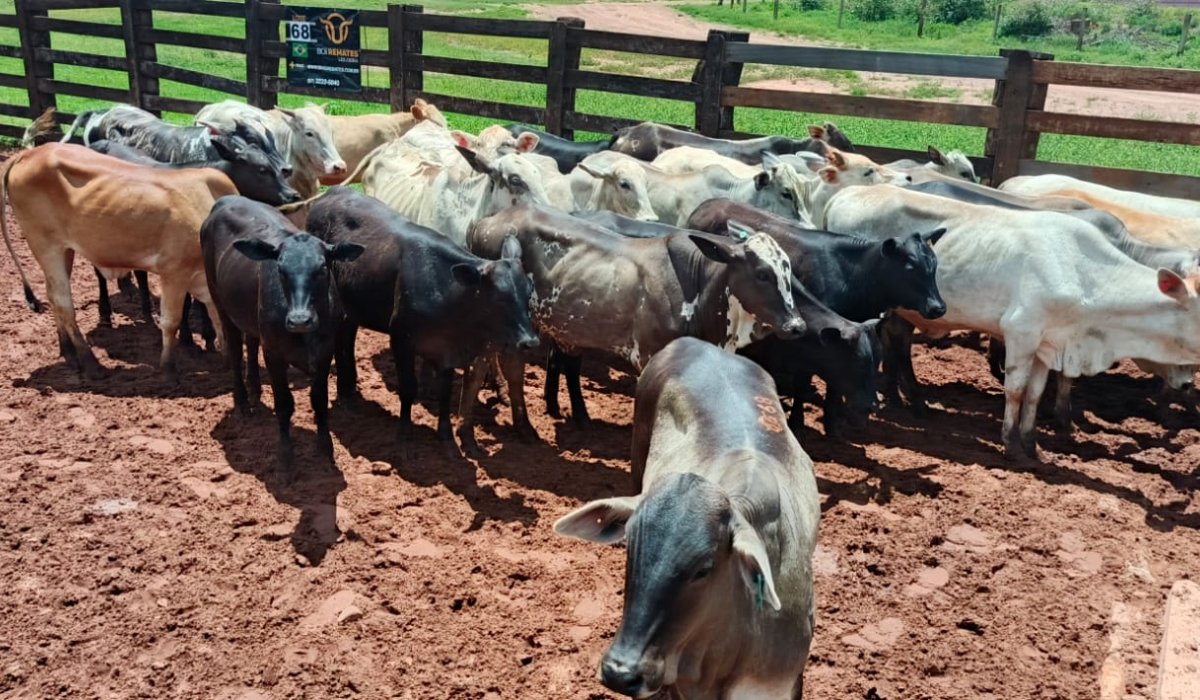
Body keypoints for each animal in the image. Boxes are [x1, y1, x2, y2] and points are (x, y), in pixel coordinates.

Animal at [1, 143, 236, 379]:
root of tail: (29, 153)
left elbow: (218, 318)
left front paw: (226, 360)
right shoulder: (174, 272)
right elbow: (171, 322)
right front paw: (168, 369)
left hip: (64, 250)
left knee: (51, 295)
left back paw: (68, 351)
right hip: (46, 246)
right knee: (62, 301)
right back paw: (90, 363)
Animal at [201, 195, 364, 477]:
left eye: (322, 268)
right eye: (280, 269)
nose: (299, 320)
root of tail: (227, 198)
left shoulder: (325, 351)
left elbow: (319, 400)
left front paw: (325, 448)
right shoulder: (275, 354)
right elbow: (284, 404)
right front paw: (286, 457)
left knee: (251, 341)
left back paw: (255, 389)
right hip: (220, 302)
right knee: (235, 350)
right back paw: (242, 403)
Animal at [305, 187, 539, 441]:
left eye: (529, 294)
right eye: (499, 298)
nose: (531, 341)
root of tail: (333, 192)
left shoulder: (447, 346)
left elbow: (445, 390)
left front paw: (445, 434)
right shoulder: (400, 337)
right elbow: (409, 387)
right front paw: (404, 432)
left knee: (346, 336)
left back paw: (348, 388)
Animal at [459, 204, 804, 447]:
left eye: (788, 270)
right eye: (762, 273)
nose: (797, 325)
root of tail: (486, 221)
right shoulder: (650, 357)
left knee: (512, 365)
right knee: (484, 367)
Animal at [823, 184, 1200, 458]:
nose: (1186, 385)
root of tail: (848, 192)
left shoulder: (1048, 343)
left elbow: (1035, 393)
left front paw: (1031, 442)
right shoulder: (1021, 333)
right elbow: (1015, 390)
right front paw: (1010, 443)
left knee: (898, 343)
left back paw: (907, 400)